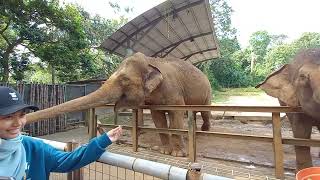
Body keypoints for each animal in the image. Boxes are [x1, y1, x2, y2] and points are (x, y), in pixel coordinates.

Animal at [26, 51, 212, 156]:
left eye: (124, 80)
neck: (151, 61)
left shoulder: (174, 92)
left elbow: (175, 115)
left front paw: (178, 154)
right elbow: (158, 118)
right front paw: (165, 151)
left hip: (207, 92)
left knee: (205, 111)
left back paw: (205, 131)